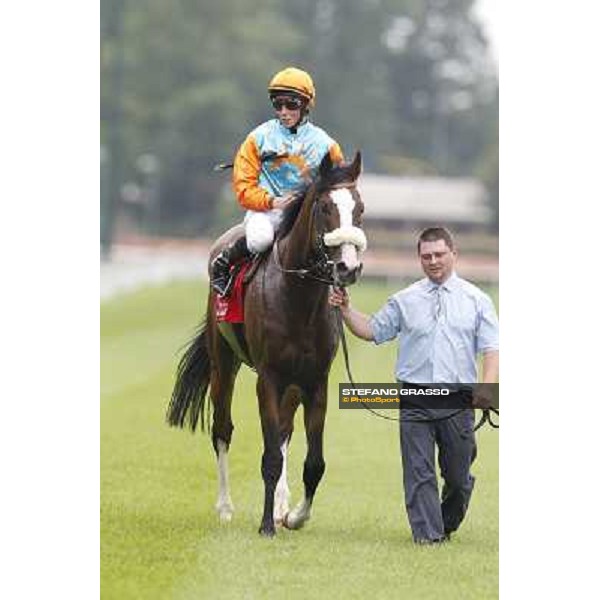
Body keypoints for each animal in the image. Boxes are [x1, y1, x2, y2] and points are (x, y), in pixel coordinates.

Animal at [166, 152, 368, 536]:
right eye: (324, 207)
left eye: (360, 208)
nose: (347, 268)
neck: (298, 296)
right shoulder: (269, 378)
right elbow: (270, 455)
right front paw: (265, 526)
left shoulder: (315, 381)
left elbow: (313, 462)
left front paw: (293, 516)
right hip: (223, 364)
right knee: (222, 429)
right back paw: (225, 508)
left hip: (292, 383)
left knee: (285, 432)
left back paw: (280, 506)